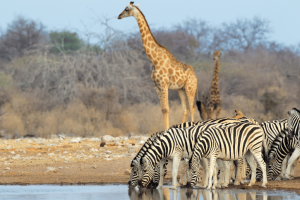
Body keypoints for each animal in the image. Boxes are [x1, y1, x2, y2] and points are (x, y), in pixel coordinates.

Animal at [118, 1, 199, 130]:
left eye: (126, 9)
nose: (119, 16)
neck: (154, 59)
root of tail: (196, 77)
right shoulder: (156, 85)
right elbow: (162, 109)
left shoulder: (164, 84)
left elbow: (166, 109)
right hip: (181, 89)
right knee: (185, 109)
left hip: (190, 88)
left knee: (192, 108)